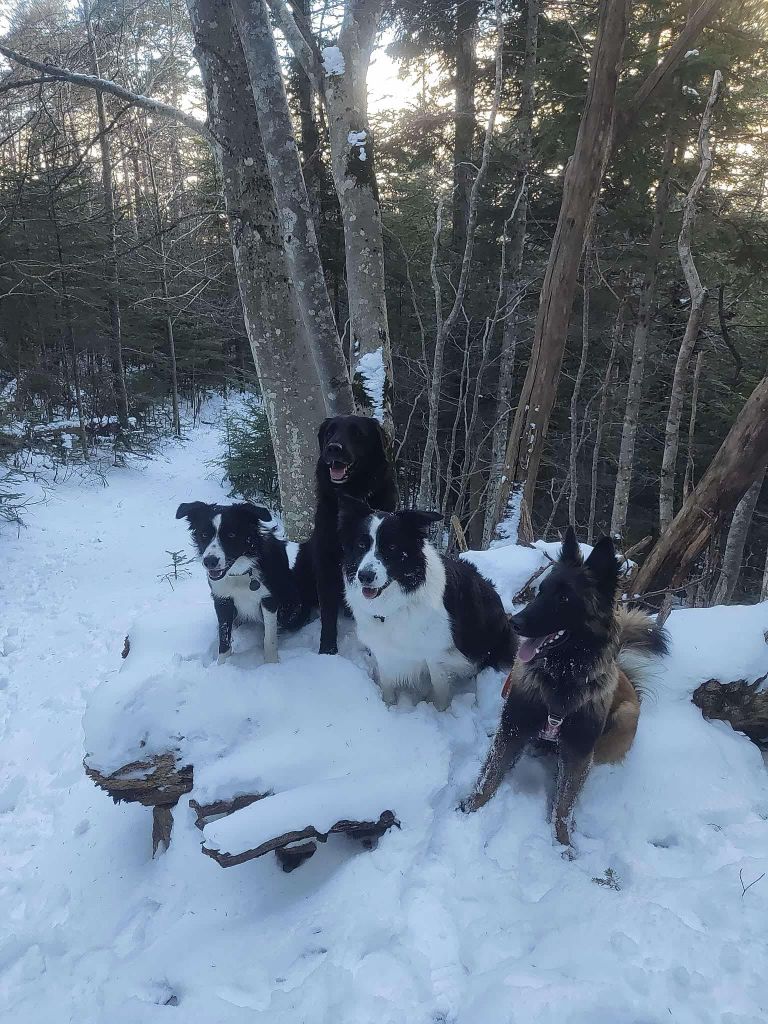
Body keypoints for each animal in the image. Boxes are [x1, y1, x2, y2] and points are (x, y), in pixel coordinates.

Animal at [176, 501, 309, 663]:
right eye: (204, 534)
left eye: (231, 535)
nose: (210, 561)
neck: (240, 573)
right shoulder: (222, 600)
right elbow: (224, 637)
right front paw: (222, 664)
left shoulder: (269, 599)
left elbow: (269, 637)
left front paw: (271, 663)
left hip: (290, 604)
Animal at [294, 415, 399, 655]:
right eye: (330, 432)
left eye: (357, 433)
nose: (333, 448)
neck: (353, 496)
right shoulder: (326, 560)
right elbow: (328, 614)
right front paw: (327, 652)